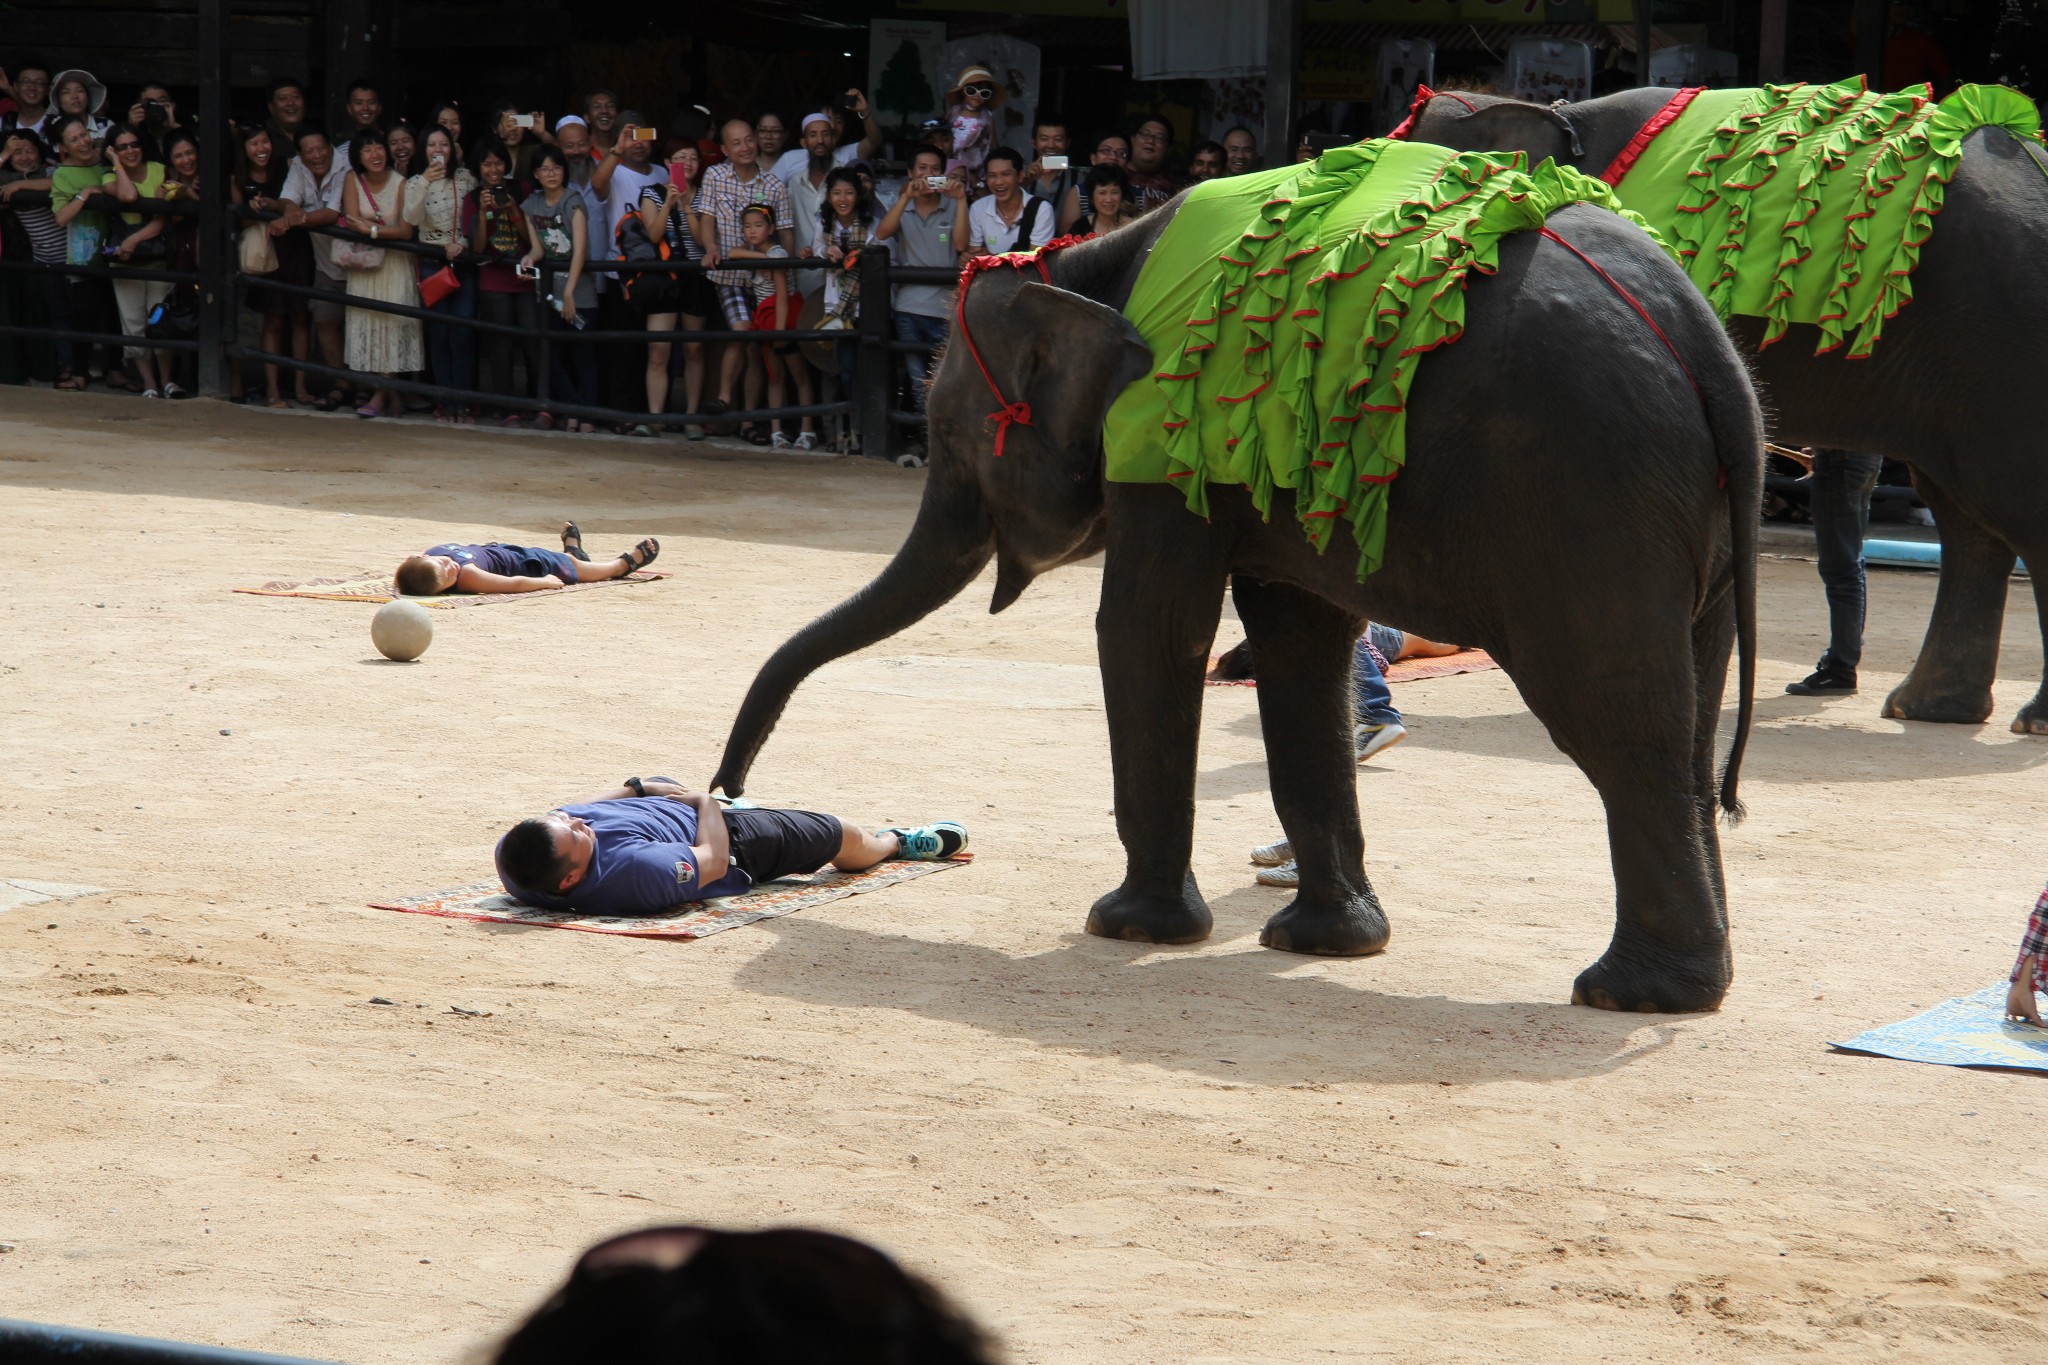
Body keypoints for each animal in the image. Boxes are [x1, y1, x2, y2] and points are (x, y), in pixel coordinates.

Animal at [708, 165, 1761, 1015]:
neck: (1087, 263)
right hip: (1681, 519)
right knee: (1685, 719)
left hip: (1587, 504)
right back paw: (1677, 986)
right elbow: (1299, 643)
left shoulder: (1164, 437)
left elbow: (1147, 629)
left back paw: (1630, 994)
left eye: (952, 435)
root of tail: (1706, 346)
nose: (727, 790)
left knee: (1617, 722)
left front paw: (1126, 928)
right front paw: (1325, 944)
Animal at [1409, 82, 2048, 736]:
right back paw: (1927, 708)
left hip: (2006, 340)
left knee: (2014, 504)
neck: (1566, 117)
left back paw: (2027, 720)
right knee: (1966, 515)